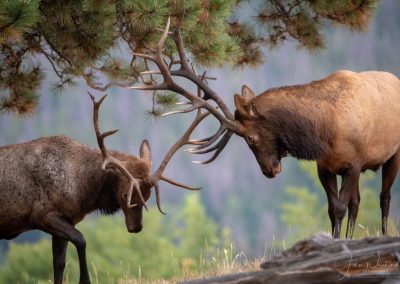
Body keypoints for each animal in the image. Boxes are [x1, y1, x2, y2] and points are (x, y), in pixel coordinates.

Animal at [0, 92, 200, 282]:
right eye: (126, 194)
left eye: (147, 196)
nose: (136, 227)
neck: (82, 192)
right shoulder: (41, 215)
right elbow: (81, 240)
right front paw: (84, 280)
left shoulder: (65, 219)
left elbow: (59, 263)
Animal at [132, 17, 400, 240]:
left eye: (250, 137)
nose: (269, 171)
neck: (325, 130)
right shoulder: (325, 166)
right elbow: (333, 209)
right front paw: (338, 240)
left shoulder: (353, 163)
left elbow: (342, 207)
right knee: (359, 202)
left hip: (392, 154)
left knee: (384, 197)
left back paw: (385, 234)